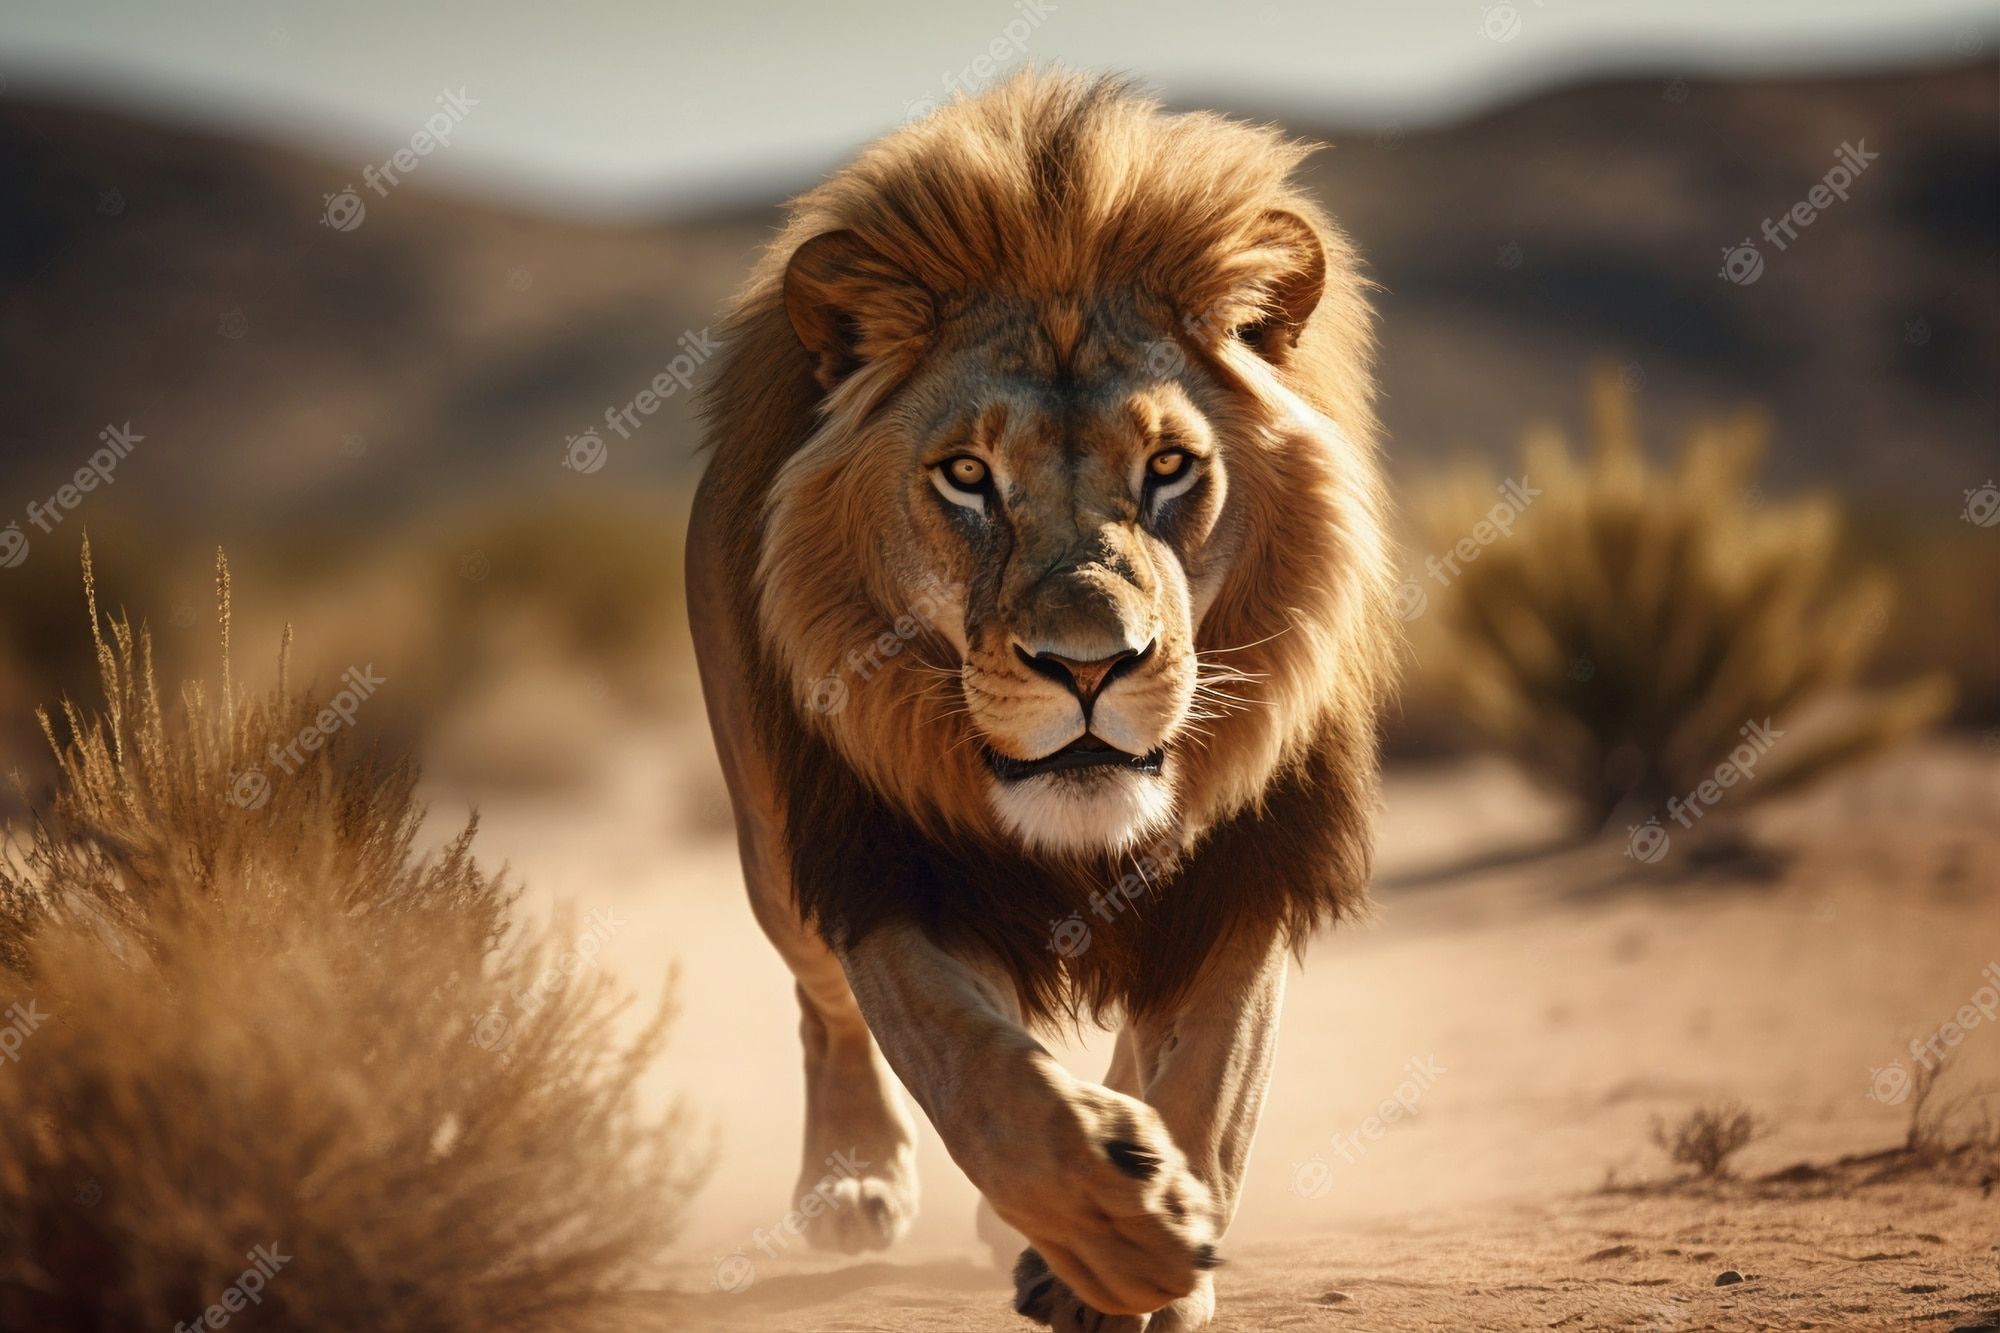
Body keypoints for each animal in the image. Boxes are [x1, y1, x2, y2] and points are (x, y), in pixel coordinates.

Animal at [686, 71, 1396, 1330]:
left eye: (1169, 467)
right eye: (967, 476)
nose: (1089, 666)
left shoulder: (1250, 859)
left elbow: (1212, 1073)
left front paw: (1147, 1246)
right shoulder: (883, 857)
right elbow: (975, 1069)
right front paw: (1111, 1222)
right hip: (771, 838)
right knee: (820, 998)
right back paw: (851, 1179)